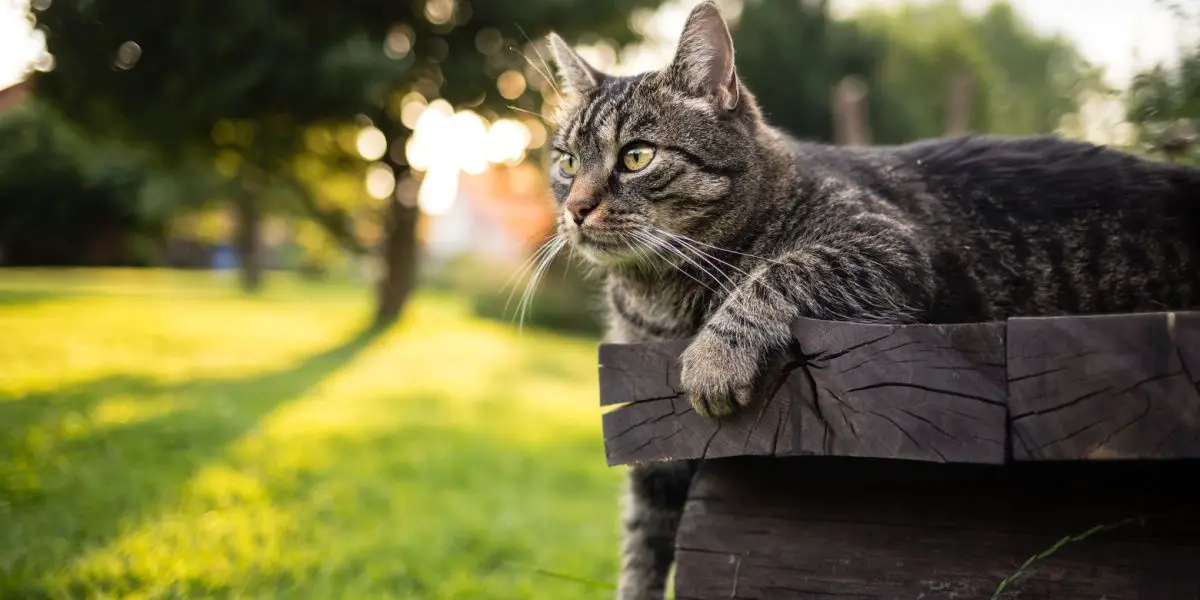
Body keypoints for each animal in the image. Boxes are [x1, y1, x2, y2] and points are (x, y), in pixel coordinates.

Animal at [544, 2, 1200, 597]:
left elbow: (780, 271)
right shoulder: (652, 445)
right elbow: (642, 545)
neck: (658, 300)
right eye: (567, 162)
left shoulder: (891, 247)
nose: (575, 208)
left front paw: (714, 358)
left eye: (637, 156)